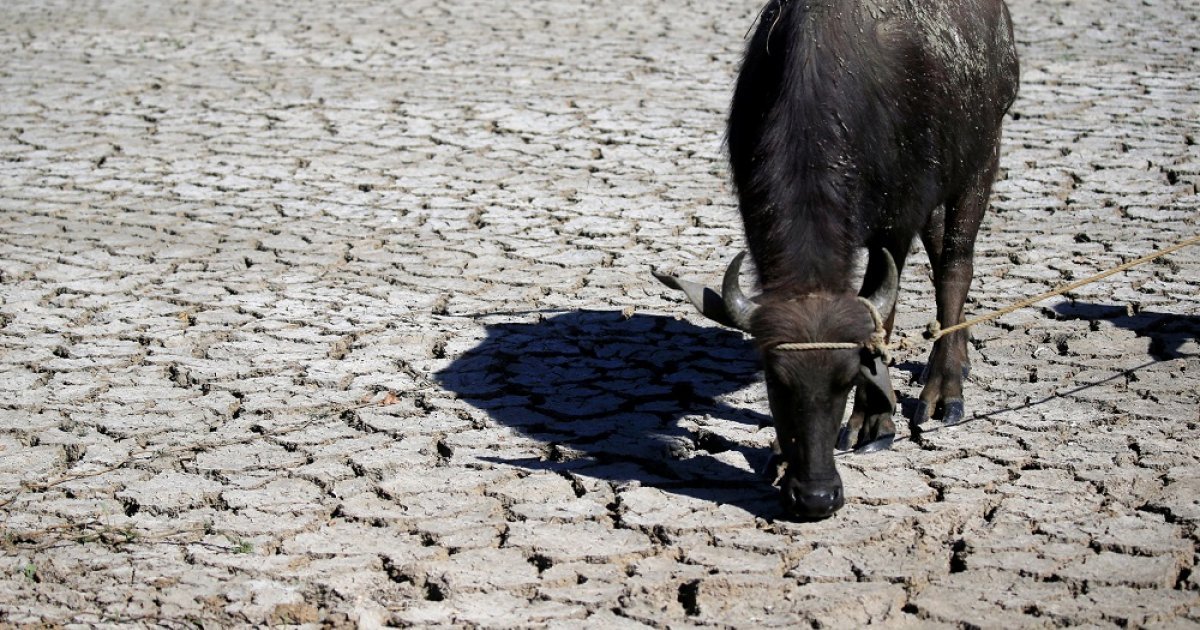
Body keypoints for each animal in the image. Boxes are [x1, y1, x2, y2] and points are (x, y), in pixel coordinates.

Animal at [662, 0, 1017, 518]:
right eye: (775, 381)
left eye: (849, 378)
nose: (816, 498)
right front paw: (778, 456)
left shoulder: (898, 219)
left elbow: (882, 315)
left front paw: (873, 422)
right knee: (939, 256)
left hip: (981, 155)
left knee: (955, 264)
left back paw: (945, 390)